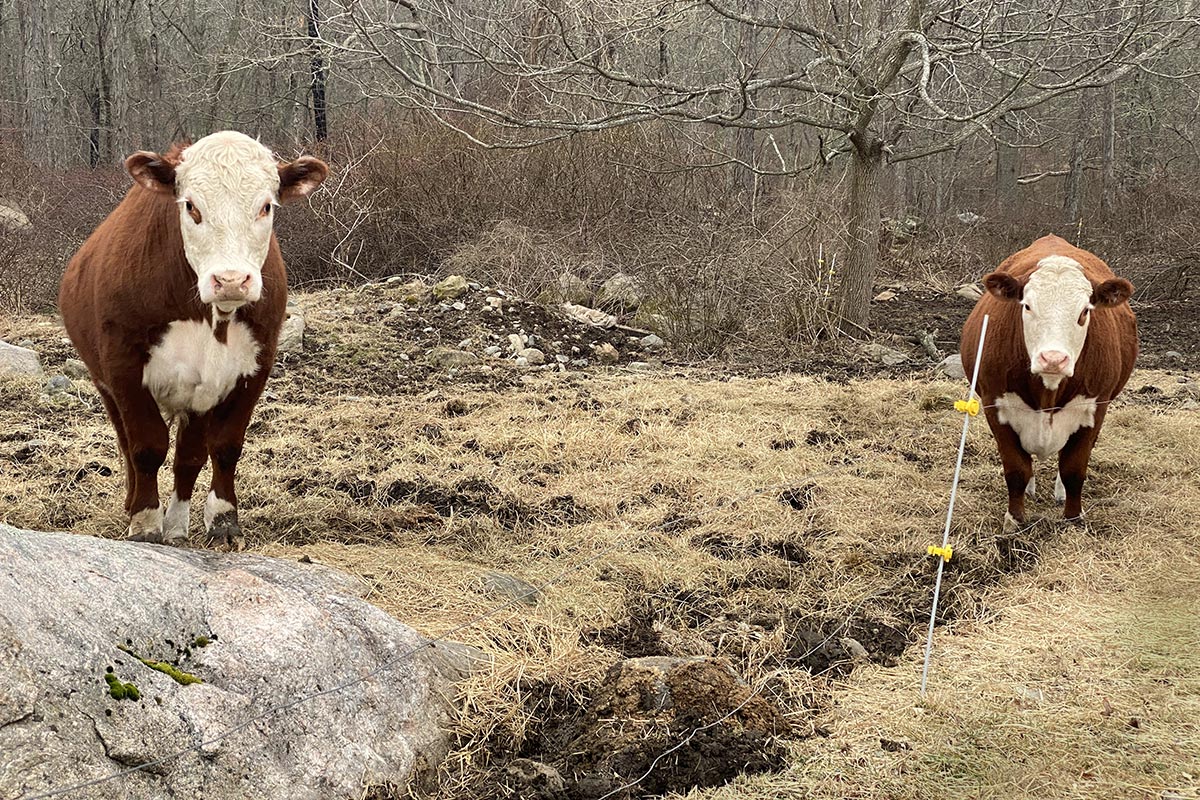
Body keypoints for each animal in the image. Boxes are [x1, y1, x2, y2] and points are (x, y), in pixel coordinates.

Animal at [59, 131, 328, 550]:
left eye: (266, 206)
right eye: (191, 206)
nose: (231, 280)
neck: (209, 317)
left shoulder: (250, 369)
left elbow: (222, 448)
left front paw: (222, 522)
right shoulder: (124, 366)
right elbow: (146, 447)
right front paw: (145, 523)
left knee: (189, 456)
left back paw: (177, 526)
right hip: (104, 383)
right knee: (126, 445)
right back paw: (134, 505)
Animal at [961, 234, 1138, 528]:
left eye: (1084, 312)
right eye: (1027, 306)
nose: (1053, 358)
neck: (1048, 391)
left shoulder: (1095, 406)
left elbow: (1074, 469)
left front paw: (1073, 518)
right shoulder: (994, 403)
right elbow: (1017, 469)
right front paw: (1014, 519)